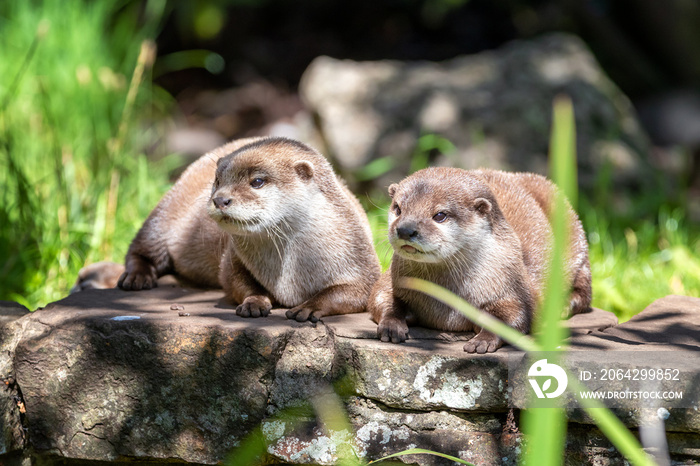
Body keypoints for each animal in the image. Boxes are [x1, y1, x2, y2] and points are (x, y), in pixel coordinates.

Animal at [120, 137, 382, 322]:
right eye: (217, 181)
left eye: (257, 181)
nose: (220, 199)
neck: (295, 268)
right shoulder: (233, 258)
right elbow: (234, 280)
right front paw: (255, 302)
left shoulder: (359, 257)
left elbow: (353, 292)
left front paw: (308, 306)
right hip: (166, 211)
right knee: (142, 245)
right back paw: (136, 277)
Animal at [370, 167, 592, 354]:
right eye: (398, 208)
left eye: (440, 215)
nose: (405, 230)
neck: (443, 303)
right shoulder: (394, 277)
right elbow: (380, 296)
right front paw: (392, 325)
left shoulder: (512, 284)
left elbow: (516, 315)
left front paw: (482, 340)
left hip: (577, 238)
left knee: (584, 291)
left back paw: (562, 307)